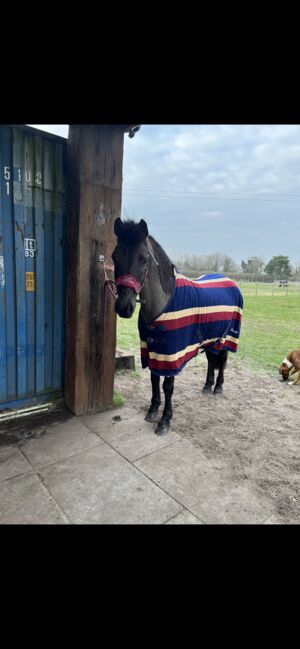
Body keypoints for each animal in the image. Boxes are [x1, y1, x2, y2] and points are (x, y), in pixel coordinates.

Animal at [111, 218, 243, 436]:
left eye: (144, 259)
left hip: (226, 337)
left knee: (222, 359)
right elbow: (154, 379)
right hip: (210, 337)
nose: (124, 307)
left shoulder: (172, 354)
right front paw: (152, 410)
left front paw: (165, 420)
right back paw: (207, 386)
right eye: (115, 256)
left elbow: (167, 385)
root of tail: (230, 282)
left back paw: (218, 388)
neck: (163, 304)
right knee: (211, 359)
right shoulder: (152, 349)